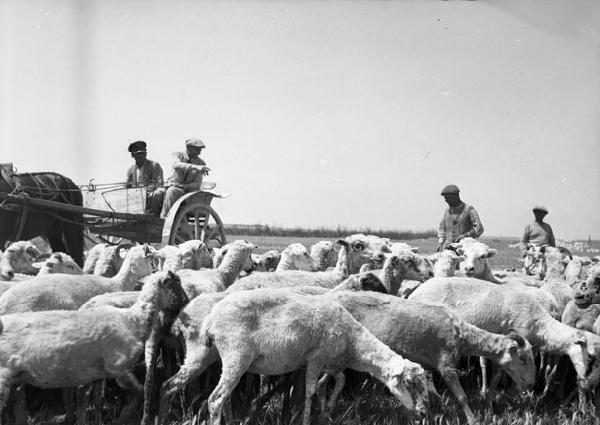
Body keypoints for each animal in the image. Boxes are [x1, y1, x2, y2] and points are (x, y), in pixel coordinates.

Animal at [0, 270, 188, 422]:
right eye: (177, 283)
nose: (186, 301)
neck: (133, 319)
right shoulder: (118, 368)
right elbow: (138, 392)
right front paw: (123, 417)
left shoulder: (97, 373)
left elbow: (93, 398)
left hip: (16, 379)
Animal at [199, 288, 428, 424]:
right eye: (410, 383)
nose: (424, 413)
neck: (353, 343)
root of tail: (210, 319)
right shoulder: (315, 359)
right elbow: (309, 391)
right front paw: (308, 418)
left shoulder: (331, 364)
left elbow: (338, 382)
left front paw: (327, 409)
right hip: (236, 356)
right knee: (215, 399)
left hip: (230, 361)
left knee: (225, 396)